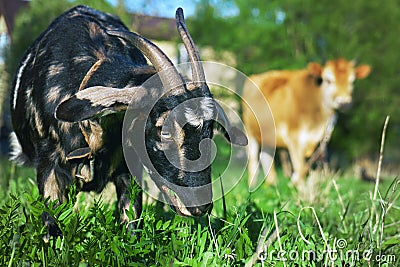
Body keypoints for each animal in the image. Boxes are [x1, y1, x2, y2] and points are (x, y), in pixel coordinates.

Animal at [9, 4, 247, 241]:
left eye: (210, 130)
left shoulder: (129, 168)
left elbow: (130, 224)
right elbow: (51, 227)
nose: (200, 206)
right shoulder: (48, 167)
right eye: (164, 131)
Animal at [242, 58, 370, 188]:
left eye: (352, 81)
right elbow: (300, 167)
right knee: (253, 160)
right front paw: (302, 190)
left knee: (266, 156)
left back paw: (272, 184)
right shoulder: (293, 138)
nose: (344, 102)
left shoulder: (317, 139)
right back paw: (253, 185)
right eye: (328, 80)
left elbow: (304, 168)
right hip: (250, 132)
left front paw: (295, 183)